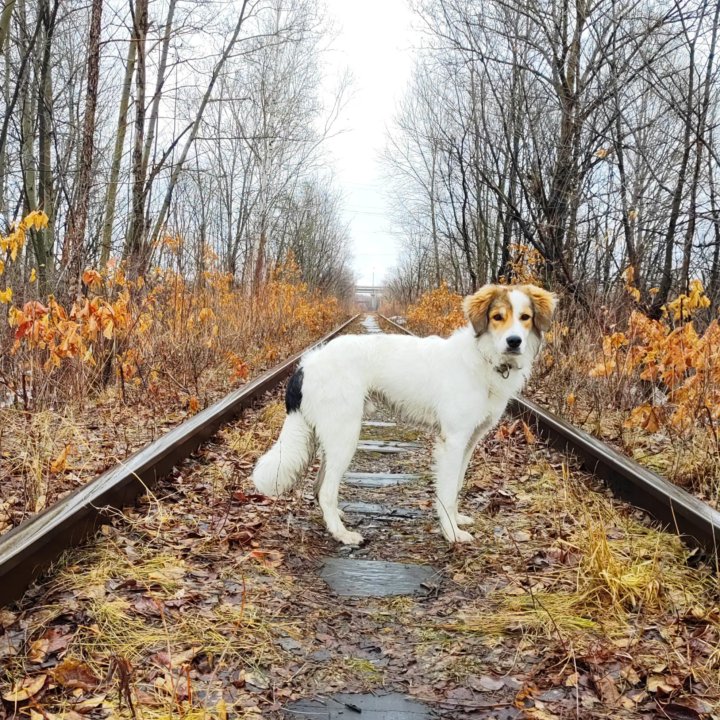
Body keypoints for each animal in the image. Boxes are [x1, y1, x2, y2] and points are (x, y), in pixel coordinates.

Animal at [250, 284, 560, 544]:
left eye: (525, 317)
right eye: (497, 317)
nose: (514, 341)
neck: (484, 358)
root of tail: (308, 362)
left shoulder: (470, 442)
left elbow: (458, 485)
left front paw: (456, 520)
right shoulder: (453, 440)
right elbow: (447, 491)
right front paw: (451, 533)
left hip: (333, 436)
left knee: (319, 487)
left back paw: (336, 520)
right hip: (345, 436)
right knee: (325, 491)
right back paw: (342, 535)